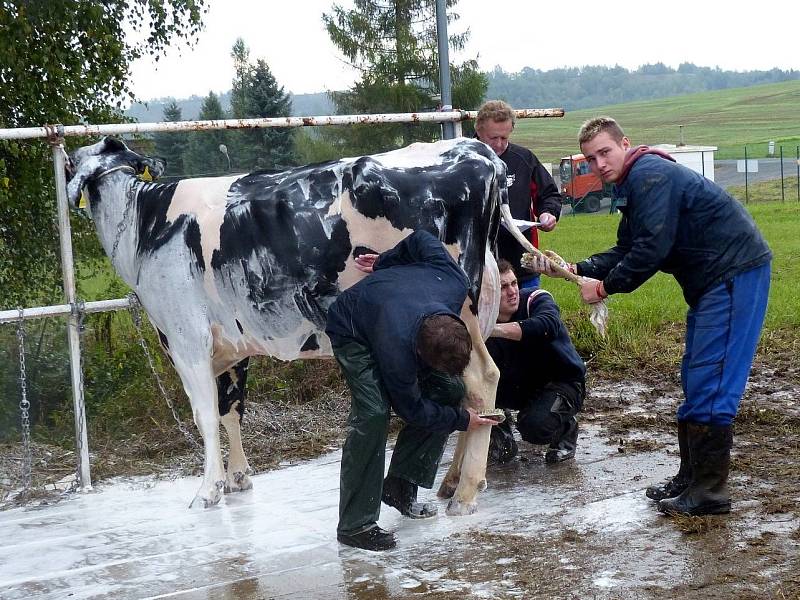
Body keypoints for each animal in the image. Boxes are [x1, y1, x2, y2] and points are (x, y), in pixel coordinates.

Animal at [67, 137, 532, 516]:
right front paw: (238, 479)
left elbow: (205, 416)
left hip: (454, 315)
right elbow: (231, 409)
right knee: (471, 398)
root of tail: (477, 151)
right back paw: (451, 482)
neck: (145, 225)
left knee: (482, 378)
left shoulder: (186, 340)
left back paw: (465, 493)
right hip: (479, 309)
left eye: (71, 163)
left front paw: (208, 489)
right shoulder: (230, 344)